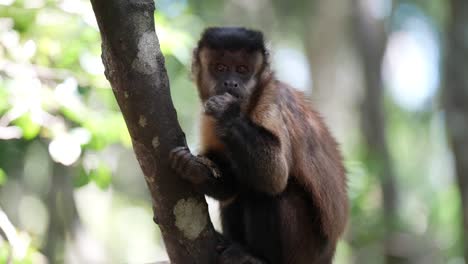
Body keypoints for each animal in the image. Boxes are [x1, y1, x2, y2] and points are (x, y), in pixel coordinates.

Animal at [170, 27, 346, 264]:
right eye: (220, 68)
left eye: (242, 70)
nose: (231, 83)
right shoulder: (208, 116)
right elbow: (229, 186)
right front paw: (192, 168)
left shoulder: (271, 99)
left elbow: (275, 175)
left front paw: (228, 114)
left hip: (304, 250)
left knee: (267, 190)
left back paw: (255, 256)